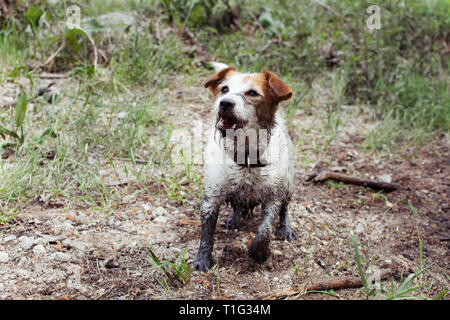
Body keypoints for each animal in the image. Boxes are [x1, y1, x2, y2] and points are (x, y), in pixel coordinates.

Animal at [192, 62, 296, 270]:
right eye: (224, 89)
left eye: (252, 93)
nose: (225, 103)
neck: (245, 157)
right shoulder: (211, 197)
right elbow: (207, 234)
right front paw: (202, 259)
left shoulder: (273, 195)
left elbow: (265, 229)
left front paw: (259, 253)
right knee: (236, 203)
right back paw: (234, 218)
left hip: (288, 185)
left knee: (285, 209)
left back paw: (285, 228)